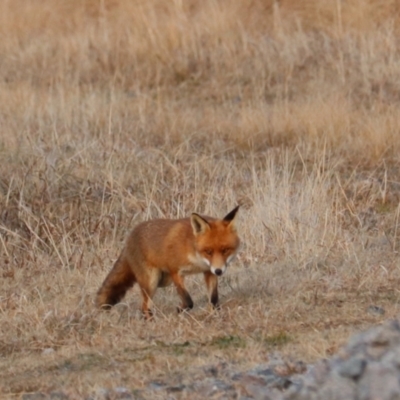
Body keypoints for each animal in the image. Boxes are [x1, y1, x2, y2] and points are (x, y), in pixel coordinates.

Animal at [96, 206, 241, 318]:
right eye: (208, 251)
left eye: (225, 250)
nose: (219, 271)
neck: (196, 257)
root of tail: (128, 239)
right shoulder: (175, 271)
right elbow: (188, 300)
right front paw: (179, 310)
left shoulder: (208, 271)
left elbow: (214, 299)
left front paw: (215, 314)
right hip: (152, 281)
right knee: (144, 307)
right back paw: (151, 321)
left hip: (163, 281)